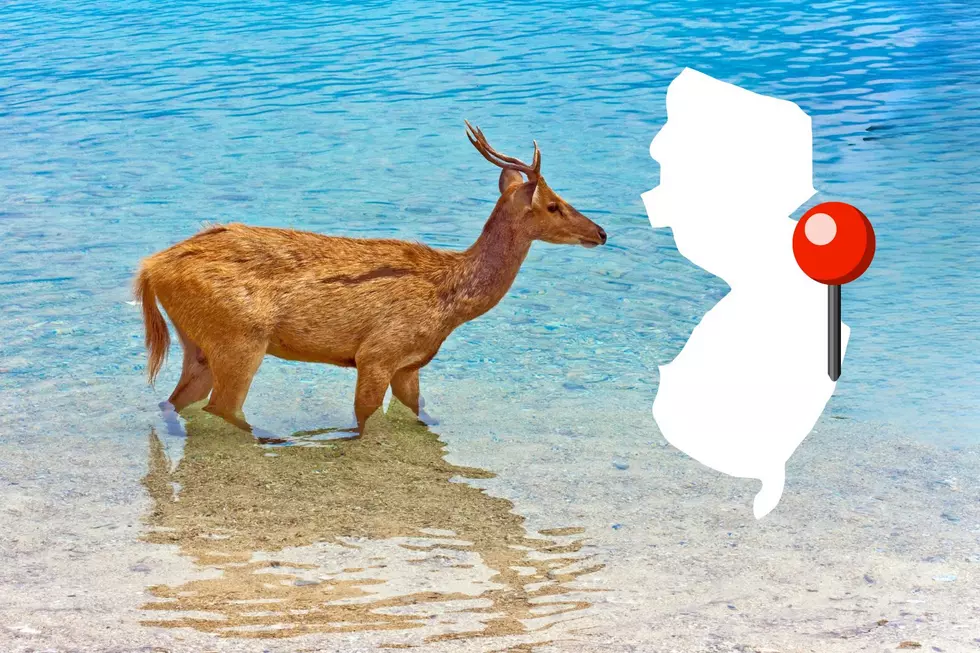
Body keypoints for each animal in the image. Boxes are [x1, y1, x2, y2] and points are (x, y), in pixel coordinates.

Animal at [134, 121, 607, 434]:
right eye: (553, 205)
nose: (601, 232)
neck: (449, 301)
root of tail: (151, 269)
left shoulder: (409, 363)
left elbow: (419, 413)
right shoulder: (377, 353)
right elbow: (366, 420)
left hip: (199, 343)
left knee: (174, 400)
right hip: (240, 338)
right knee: (222, 408)